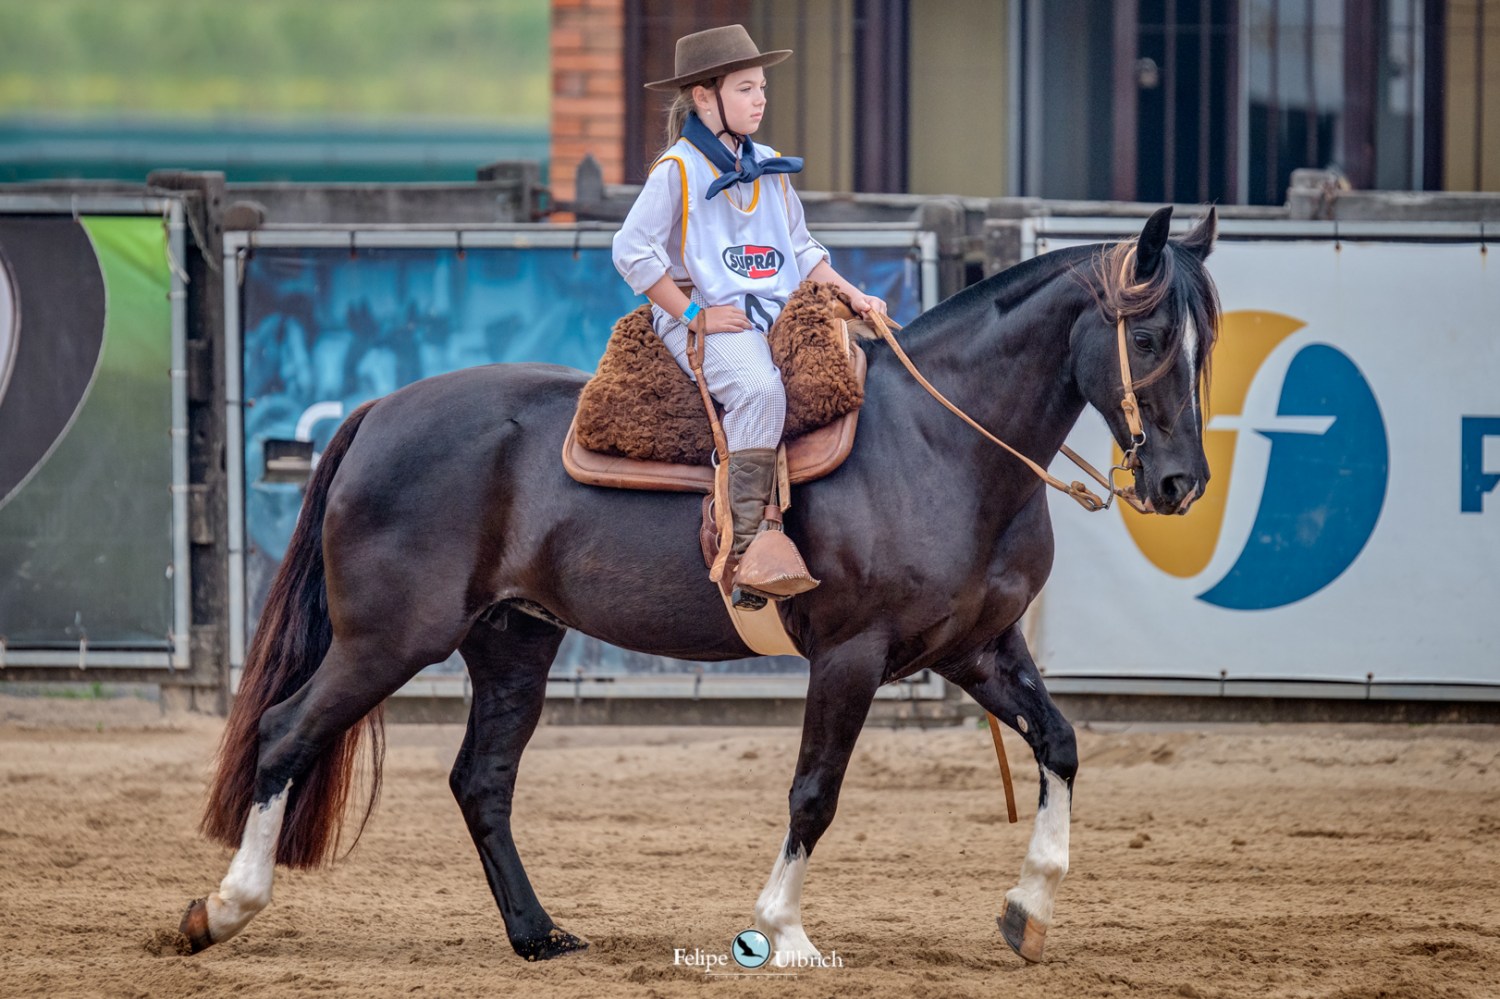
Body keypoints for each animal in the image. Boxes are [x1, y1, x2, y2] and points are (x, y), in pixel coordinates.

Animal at [184, 204, 1218, 966]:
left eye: (1207, 340)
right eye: (1151, 333)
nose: (1180, 483)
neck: (940, 444)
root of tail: (378, 411)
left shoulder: (978, 649)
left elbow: (1062, 744)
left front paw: (1028, 909)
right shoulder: (850, 657)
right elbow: (814, 791)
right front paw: (782, 929)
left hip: (512, 641)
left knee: (480, 779)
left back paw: (537, 934)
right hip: (391, 638)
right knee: (284, 731)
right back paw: (224, 907)